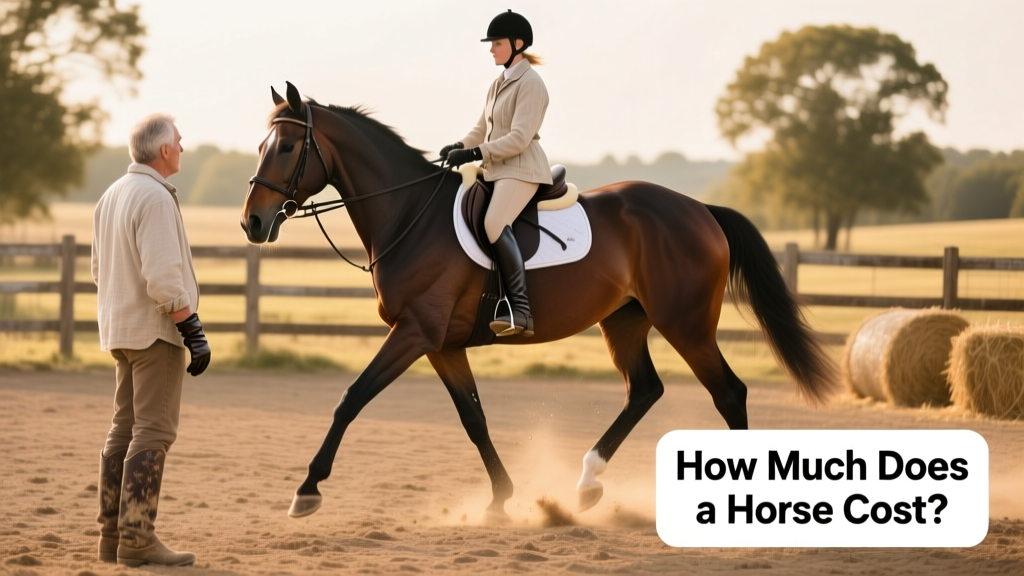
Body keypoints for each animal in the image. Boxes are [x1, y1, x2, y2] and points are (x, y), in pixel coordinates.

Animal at [240, 82, 838, 521]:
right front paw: (502, 499)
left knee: (729, 393)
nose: (252, 222)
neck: (410, 216)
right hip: (624, 322)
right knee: (645, 390)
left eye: (287, 148)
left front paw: (307, 490)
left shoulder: (413, 333)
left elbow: (351, 397)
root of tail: (699, 209)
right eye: (263, 147)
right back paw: (586, 485)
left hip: (686, 325)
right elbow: (473, 418)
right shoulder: (442, 345)